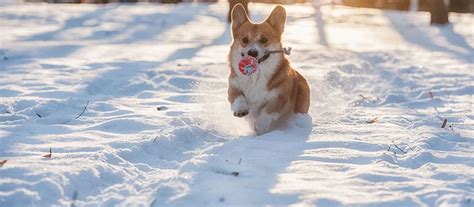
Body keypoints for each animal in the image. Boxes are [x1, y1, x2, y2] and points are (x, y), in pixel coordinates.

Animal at [227, 4, 310, 136]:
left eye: (264, 40)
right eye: (245, 40)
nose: (252, 52)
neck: (256, 76)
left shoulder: (279, 96)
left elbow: (268, 110)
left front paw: (260, 126)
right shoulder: (233, 86)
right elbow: (238, 97)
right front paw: (241, 110)